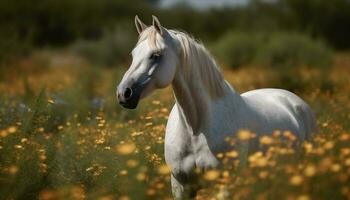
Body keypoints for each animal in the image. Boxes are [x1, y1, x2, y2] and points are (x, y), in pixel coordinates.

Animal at [115, 15, 318, 198]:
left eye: (155, 55)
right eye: (133, 55)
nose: (123, 93)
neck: (195, 128)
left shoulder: (224, 185)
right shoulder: (181, 185)